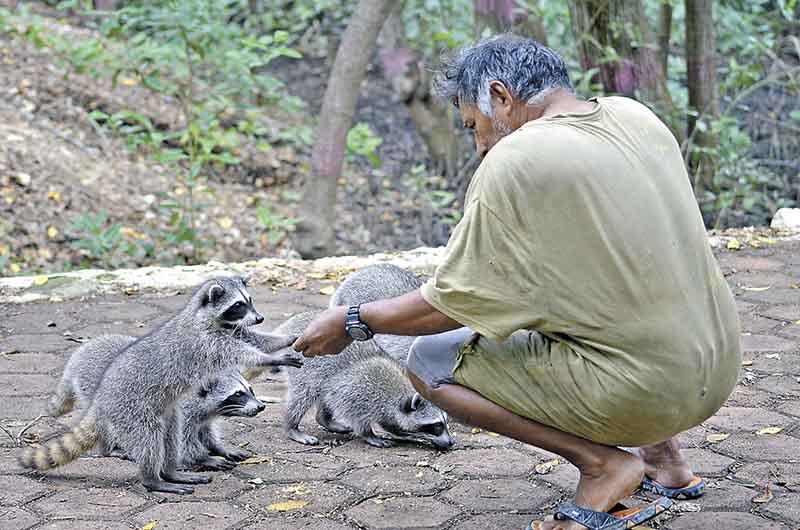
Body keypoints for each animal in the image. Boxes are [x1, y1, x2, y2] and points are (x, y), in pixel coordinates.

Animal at [18, 274, 302, 492]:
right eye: (238, 305)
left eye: (250, 301)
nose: (260, 318)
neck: (205, 318)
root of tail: (101, 396)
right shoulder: (204, 342)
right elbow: (240, 352)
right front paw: (271, 357)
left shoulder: (232, 330)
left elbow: (255, 340)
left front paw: (285, 339)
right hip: (131, 408)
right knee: (149, 437)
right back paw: (152, 477)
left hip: (163, 411)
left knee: (169, 434)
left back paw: (171, 471)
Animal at [250, 310, 454, 450]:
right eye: (436, 426)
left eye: (445, 422)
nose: (451, 442)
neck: (398, 393)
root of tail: (292, 323)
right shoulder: (360, 391)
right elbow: (355, 413)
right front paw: (368, 434)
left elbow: (390, 422)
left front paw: (402, 432)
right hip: (305, 366)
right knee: (304, 395)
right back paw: (292, 425)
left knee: (325, 391)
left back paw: (324, 419)